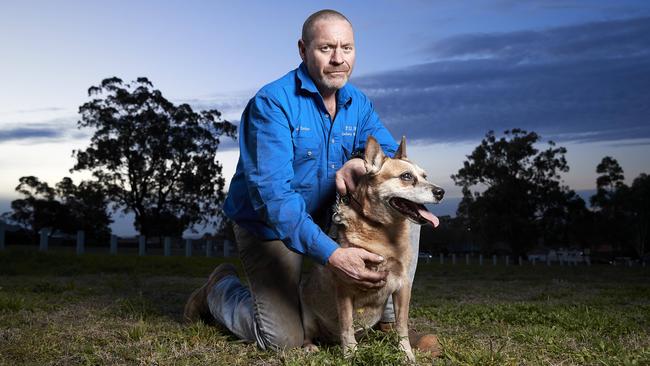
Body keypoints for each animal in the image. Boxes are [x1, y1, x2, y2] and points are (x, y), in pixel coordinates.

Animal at [298, 136, 440, 362]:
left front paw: (405, 353)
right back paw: (311, 346)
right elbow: (346, 325)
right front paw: (350, 353)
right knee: (309, 334)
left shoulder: (403, 286)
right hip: (307, 311)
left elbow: (401, 326)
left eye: (424, 176)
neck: (383, 230)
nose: (441, 192)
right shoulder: (344, 288)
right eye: (406, 176)